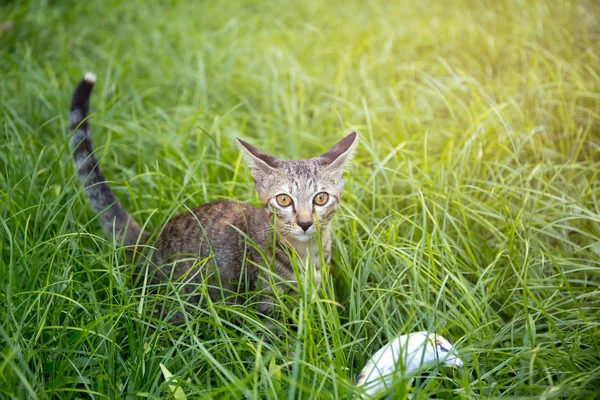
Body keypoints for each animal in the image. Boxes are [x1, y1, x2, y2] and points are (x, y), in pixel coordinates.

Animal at [69, 72, 356, 316]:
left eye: (320, 198)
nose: (305, 223)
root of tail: (147, 240)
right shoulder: (266, 303)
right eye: (284, 200)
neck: (307, 254)